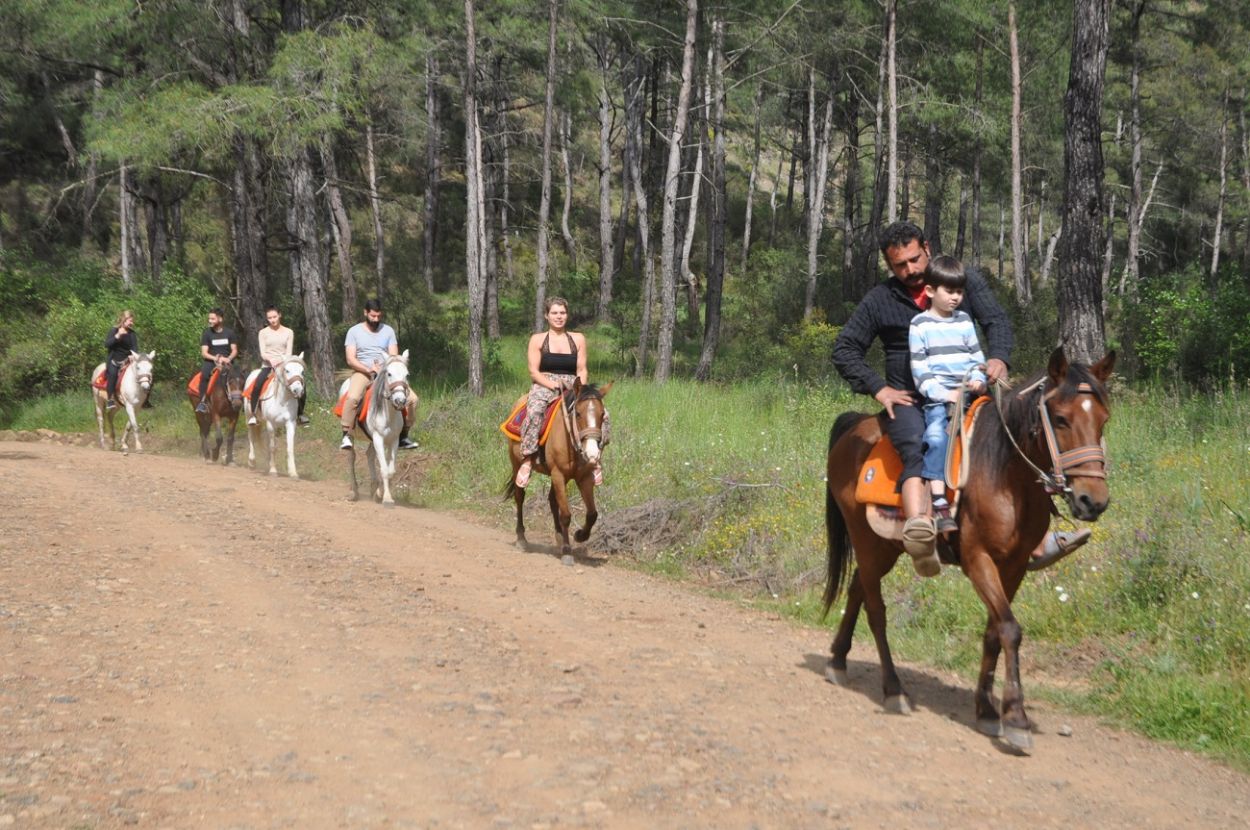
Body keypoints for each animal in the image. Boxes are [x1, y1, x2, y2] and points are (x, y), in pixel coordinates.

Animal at [242, 352, 306, 480]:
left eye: (302, 371)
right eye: (287, 370)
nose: (298, 390)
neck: (282, 401)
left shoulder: (290, 423)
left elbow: (289, 448)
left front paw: (293, 472)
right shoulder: (271, 423)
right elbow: (272, 446)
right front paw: (273, 470)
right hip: (249, 416)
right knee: (251, 436)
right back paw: (252, 462)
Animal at [342, 350, 415, 505]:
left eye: (407, 375)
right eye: (389, 374)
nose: (400, 401)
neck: (388, 413)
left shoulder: (393, 440)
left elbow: (390, 471)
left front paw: (379, 493)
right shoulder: (378, 438)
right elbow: (384, 469)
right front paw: (386, 498)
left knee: (369, 455)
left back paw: (373, 488)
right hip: (353, 433)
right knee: (351, 457)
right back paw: (354, 492)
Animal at [502, 380, 610, 555]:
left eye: (602, 415)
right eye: (578, 414)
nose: (593, 453)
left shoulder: (584, 477)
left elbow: (592, 513)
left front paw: (580, 536)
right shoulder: (558, 474)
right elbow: (565, 514)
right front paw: (567, 549)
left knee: (552, 500)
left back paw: (558, 537)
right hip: (516, 463)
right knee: (519, 496)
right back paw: (521, 539)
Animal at [820, 345, 1115, 750]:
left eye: (1103, 419)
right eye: (1060, 419)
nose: (1092, 501)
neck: (1004, 474)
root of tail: (854, 427)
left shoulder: (1015, 566)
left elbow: (994, 632)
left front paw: (988, 709)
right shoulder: (978, 560)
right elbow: (1010, 629)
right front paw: (1016, 718)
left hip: (884, 547)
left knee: (856, 591)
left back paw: (837, 660)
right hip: (866, 540)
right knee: (876, 611)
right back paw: (894, 689)